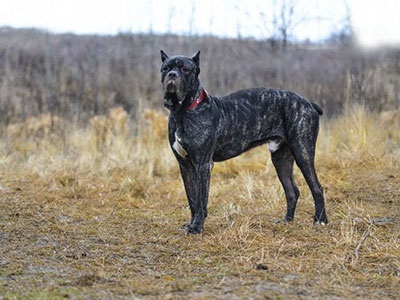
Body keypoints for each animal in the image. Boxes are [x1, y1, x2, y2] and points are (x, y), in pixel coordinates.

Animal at [159, 49, 328, 234]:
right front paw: (191, 224)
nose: (172, 75)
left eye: (185, 69)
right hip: (280, 159)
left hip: (302, 152)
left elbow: (201, 199)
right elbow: (192, 199)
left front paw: (197, 227)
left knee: (317, 188)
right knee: (292, 191)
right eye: (165, 68)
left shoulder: (203, 165)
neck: (182, 112)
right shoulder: (185, 165)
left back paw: (320, 221)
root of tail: (308, 102)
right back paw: (286, 221)